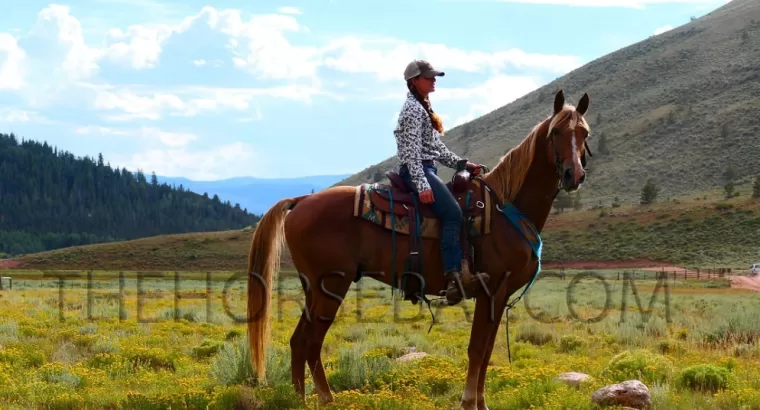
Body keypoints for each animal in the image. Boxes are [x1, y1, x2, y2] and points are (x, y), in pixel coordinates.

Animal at [246, 88, 592, 408]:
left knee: (298, 341)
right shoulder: (491, 290)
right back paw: (322, 399)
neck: (506, 209)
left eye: (583, 132)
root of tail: (301, 200)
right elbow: (477, 349)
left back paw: (302, 399)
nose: (574, 174)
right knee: (311, 342)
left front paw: (481, 401)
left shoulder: (499, 295)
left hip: (313, 289)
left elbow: (486, 351)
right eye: (556, 132)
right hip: (331, 285)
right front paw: (469, 401)